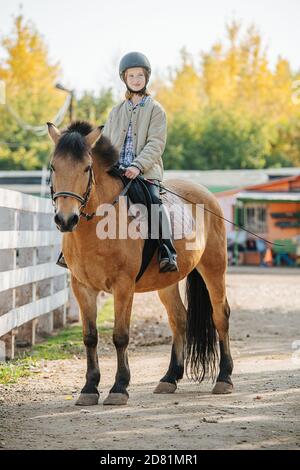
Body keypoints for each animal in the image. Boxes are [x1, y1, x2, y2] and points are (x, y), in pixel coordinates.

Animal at [48, 121, 233, 408]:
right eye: (54, 167)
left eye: (87, 168)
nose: (66, 220)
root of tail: (206, 194)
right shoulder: (82, 287)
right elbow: (90, 337)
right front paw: (89, 388)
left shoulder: (123, 286)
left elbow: (120, 335)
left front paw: (119, 388)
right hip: (167, 282)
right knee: (179, 319)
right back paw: (169, 378)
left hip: (214, 268)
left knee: (220, 315)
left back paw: (224, 378)